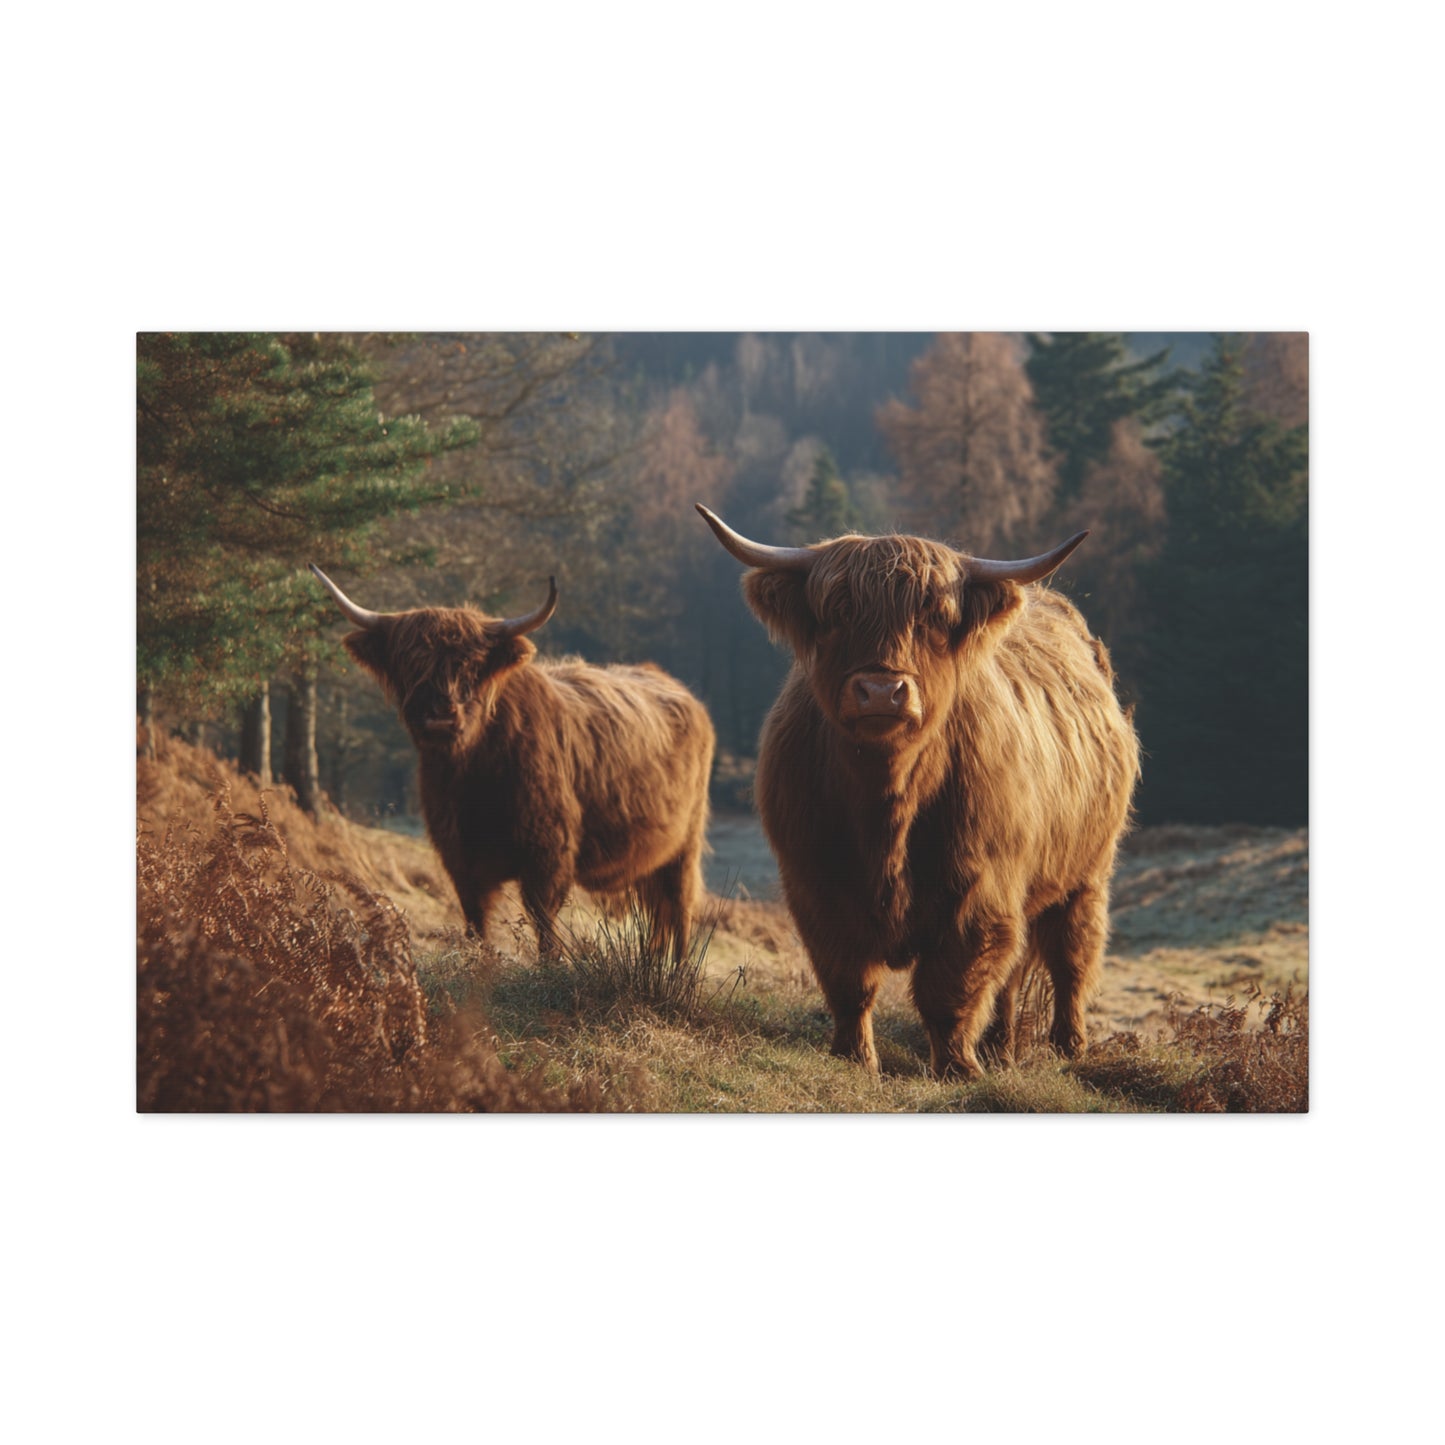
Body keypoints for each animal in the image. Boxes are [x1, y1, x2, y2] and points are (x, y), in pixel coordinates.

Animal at [311, 565, 715, 961]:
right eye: (410, 663)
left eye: (472, 666)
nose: (441, 716)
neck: (473, 777)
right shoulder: (460, 856)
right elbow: (476, 922)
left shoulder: (549, 853)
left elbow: (543, 921)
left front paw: (551, 966)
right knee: (657, 914)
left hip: (685, 845)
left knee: (680, 909)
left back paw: (677, 972)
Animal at [697, 505, 1140, 1081]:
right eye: (837, 612)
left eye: (932, 618)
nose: (882, 691)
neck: (887, 802)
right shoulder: (814, 885)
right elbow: (849, 980)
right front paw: (855, 1058)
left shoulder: (981, 891)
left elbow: (950, 985)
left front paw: (956, 1068)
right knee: (1015, 973)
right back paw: (1001, 1048)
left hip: (1086, 873)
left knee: (1071, 956)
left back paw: (1068, 1047)